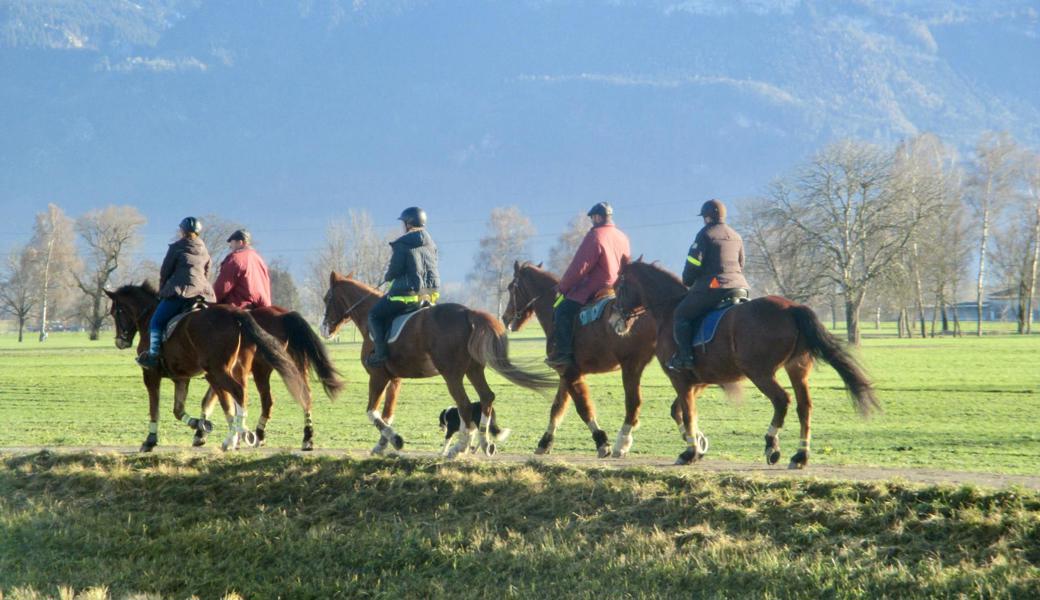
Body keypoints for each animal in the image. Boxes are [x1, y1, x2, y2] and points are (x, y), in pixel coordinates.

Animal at [104, 282, 307, 451]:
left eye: (115, 312)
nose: (120, 341)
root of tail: (236, 314)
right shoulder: (181, 378)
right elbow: (178, 410)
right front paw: (198, 424)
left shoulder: (151, 374)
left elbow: (155, 408)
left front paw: (150, 441)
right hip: (235, 370)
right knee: (243, 397)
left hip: (223, 371)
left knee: (238, 393)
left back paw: (240, 435)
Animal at [191, 303, 345, 449]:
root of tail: (284, 315)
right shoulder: (219, 373)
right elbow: (213, 400)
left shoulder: (219, 373)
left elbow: (211, 400)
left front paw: (202, 433)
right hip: (294, 366)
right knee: (305, 395)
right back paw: (307, 438)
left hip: (262, 369)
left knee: (267, 401)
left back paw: (259, 435)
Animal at [318, 268, 557, 455]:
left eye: (327, 298)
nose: (324, 329)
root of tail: (468, 312)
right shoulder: (394, 380)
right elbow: (387, 414)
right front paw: (382, 445)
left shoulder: (378, 376)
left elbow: (372, 412)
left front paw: (396, 440)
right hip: (473, 370)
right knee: (486, 397)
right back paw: (484, 442)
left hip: (452, 375)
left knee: (464, 405)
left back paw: (460, 447)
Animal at [503, 259, 657, 455]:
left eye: (511, 287)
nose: (504, 318)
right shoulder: (566, 371)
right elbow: (557, 407)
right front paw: (545, 442)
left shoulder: (571, 372)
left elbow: (583, 407)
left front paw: (601, 441)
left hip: (631, 366)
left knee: (633, 404)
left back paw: (621, 442)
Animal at [611, 258, 881, 467]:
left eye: (618, 286)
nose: (615, 321)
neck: (669, 309)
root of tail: (792, 308)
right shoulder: (699, 382)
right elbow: (678, 411)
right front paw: (696, 444)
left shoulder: (680, 379)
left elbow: (687, 413)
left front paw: (690, 451)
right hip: (797, 370)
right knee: (804, 407)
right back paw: (800, 455)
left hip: (760, 373)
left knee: (782, 401)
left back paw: (772, 445)